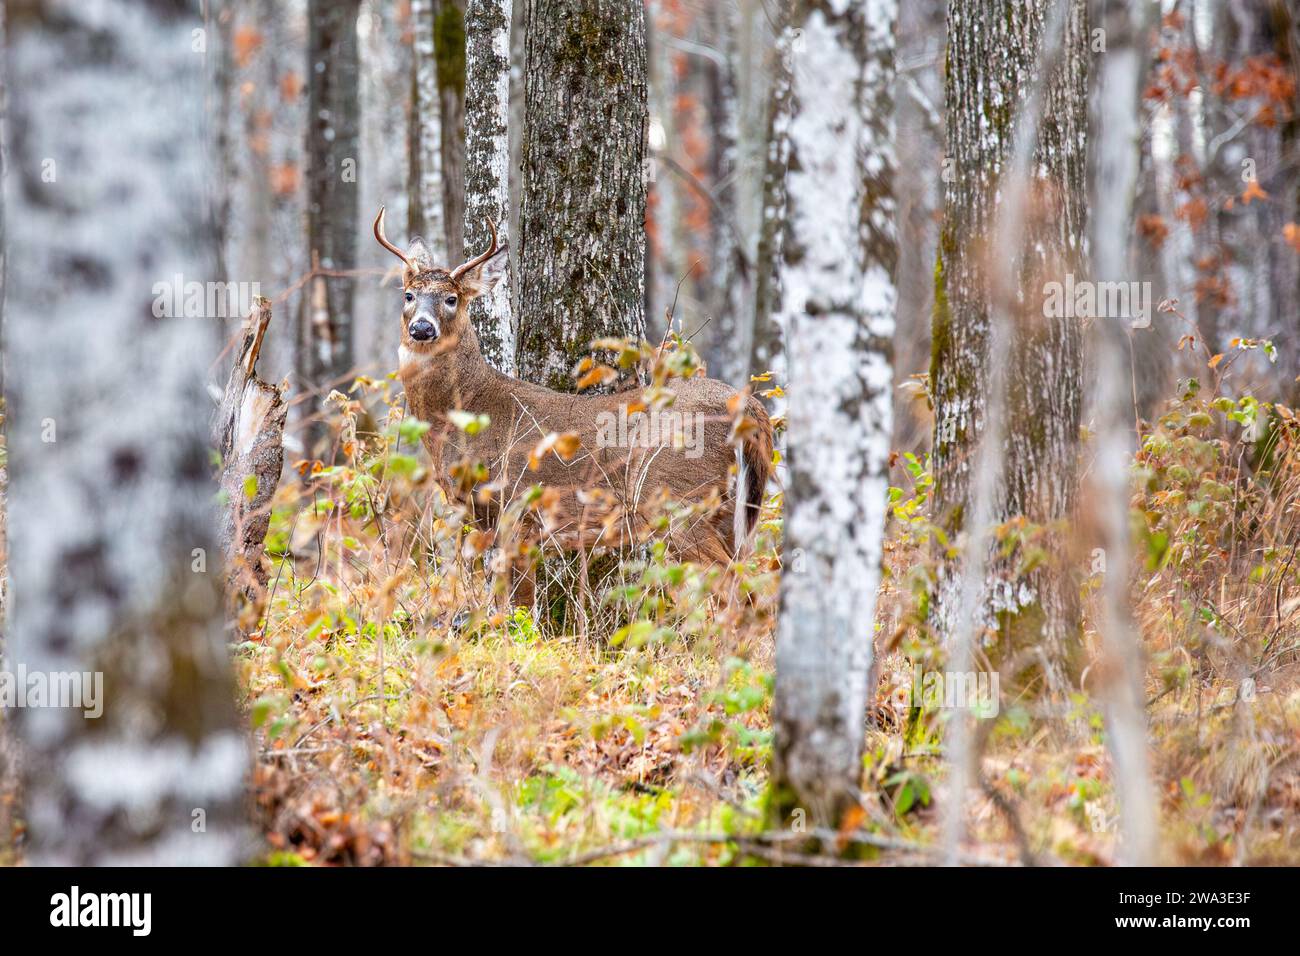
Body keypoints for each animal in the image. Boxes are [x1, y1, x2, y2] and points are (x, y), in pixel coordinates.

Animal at [373, 206, 773, 609]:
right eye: (409, 295)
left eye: (452, 299)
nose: (422, 328)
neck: (466, 411)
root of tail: (752, 411)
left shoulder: (518, 509)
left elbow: (518, 603)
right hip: (731, 515)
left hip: (675, 498)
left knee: (735, 589)